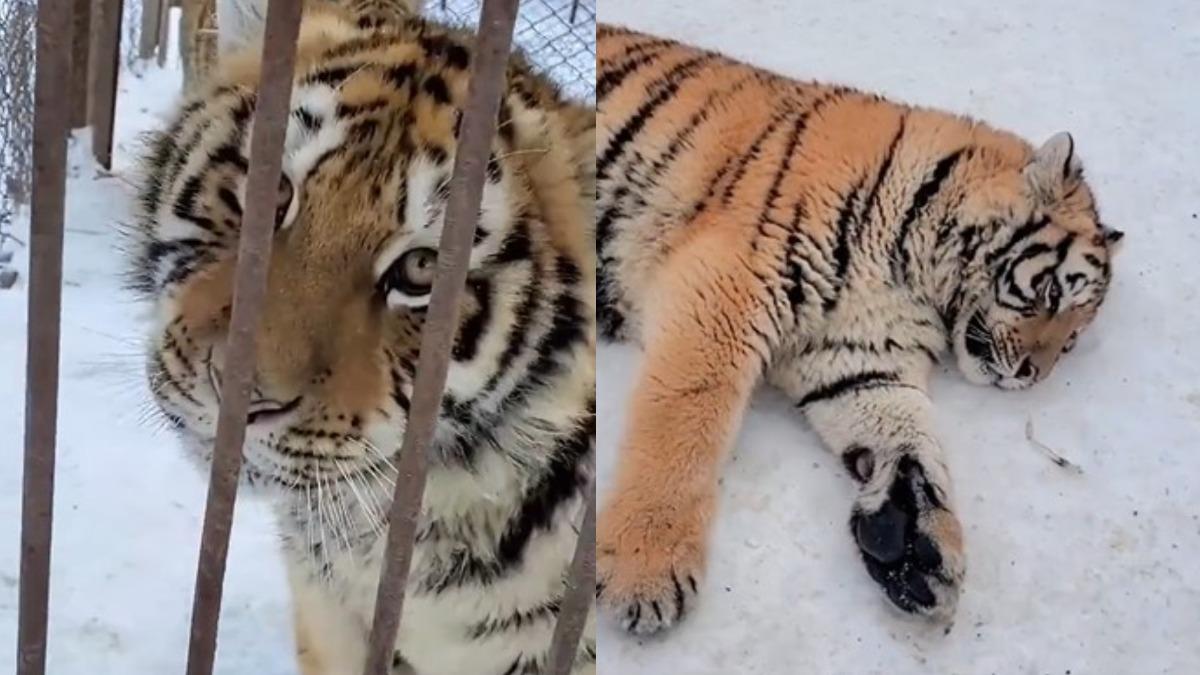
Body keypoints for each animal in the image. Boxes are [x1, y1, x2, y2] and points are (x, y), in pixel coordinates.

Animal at [595, 24, 1123, 636]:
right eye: (1054, 295)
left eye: (1073, 342)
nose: (1033, 376)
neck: (918, 277)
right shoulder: (729, 281)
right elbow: (686, 419)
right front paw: (646, 571)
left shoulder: (857, 353)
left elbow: (908, 431)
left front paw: (915, 548)